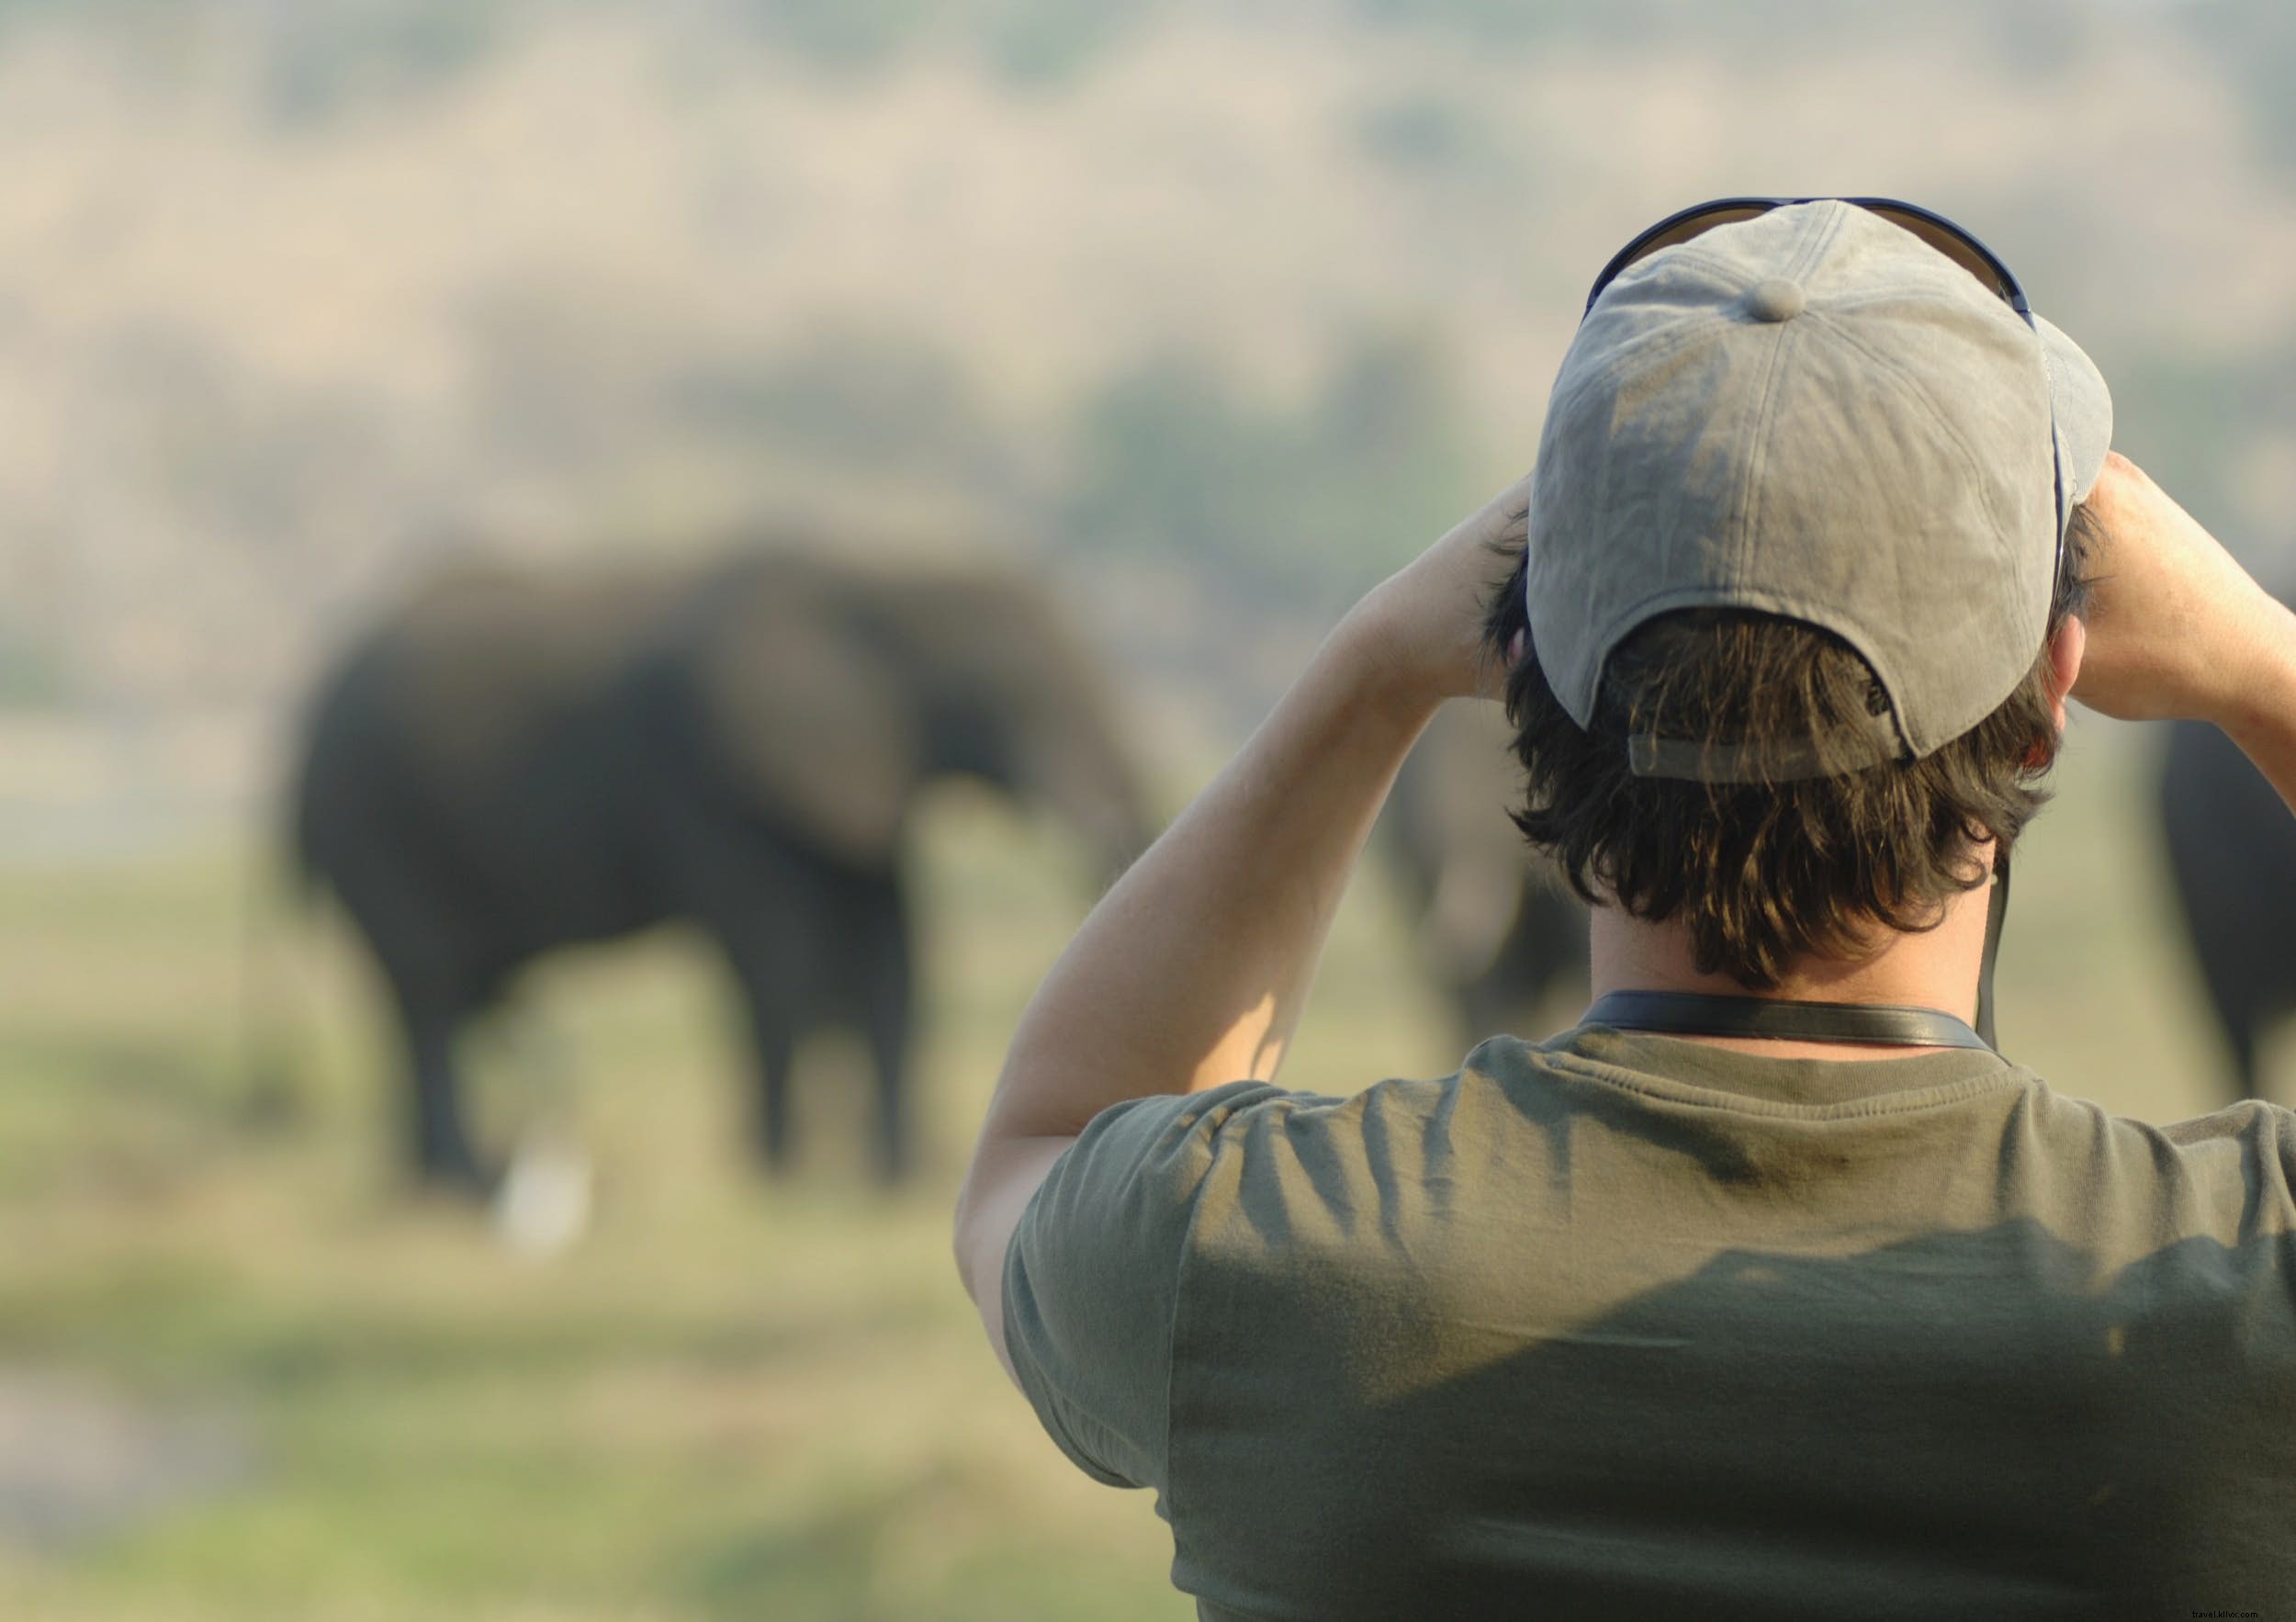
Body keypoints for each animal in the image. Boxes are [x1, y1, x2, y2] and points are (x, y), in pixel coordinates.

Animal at [291, 548, 1153, 1192]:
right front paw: (781, 1176)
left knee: (427, 1000)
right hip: (372, 821)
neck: (873, 577)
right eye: (1008, 692)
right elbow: (778, 962)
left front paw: (898, 1181)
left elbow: (891, 958)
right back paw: (462, 1183)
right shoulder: (722, 782)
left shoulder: (857, 782)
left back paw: (427, 1185)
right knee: (431, 994)